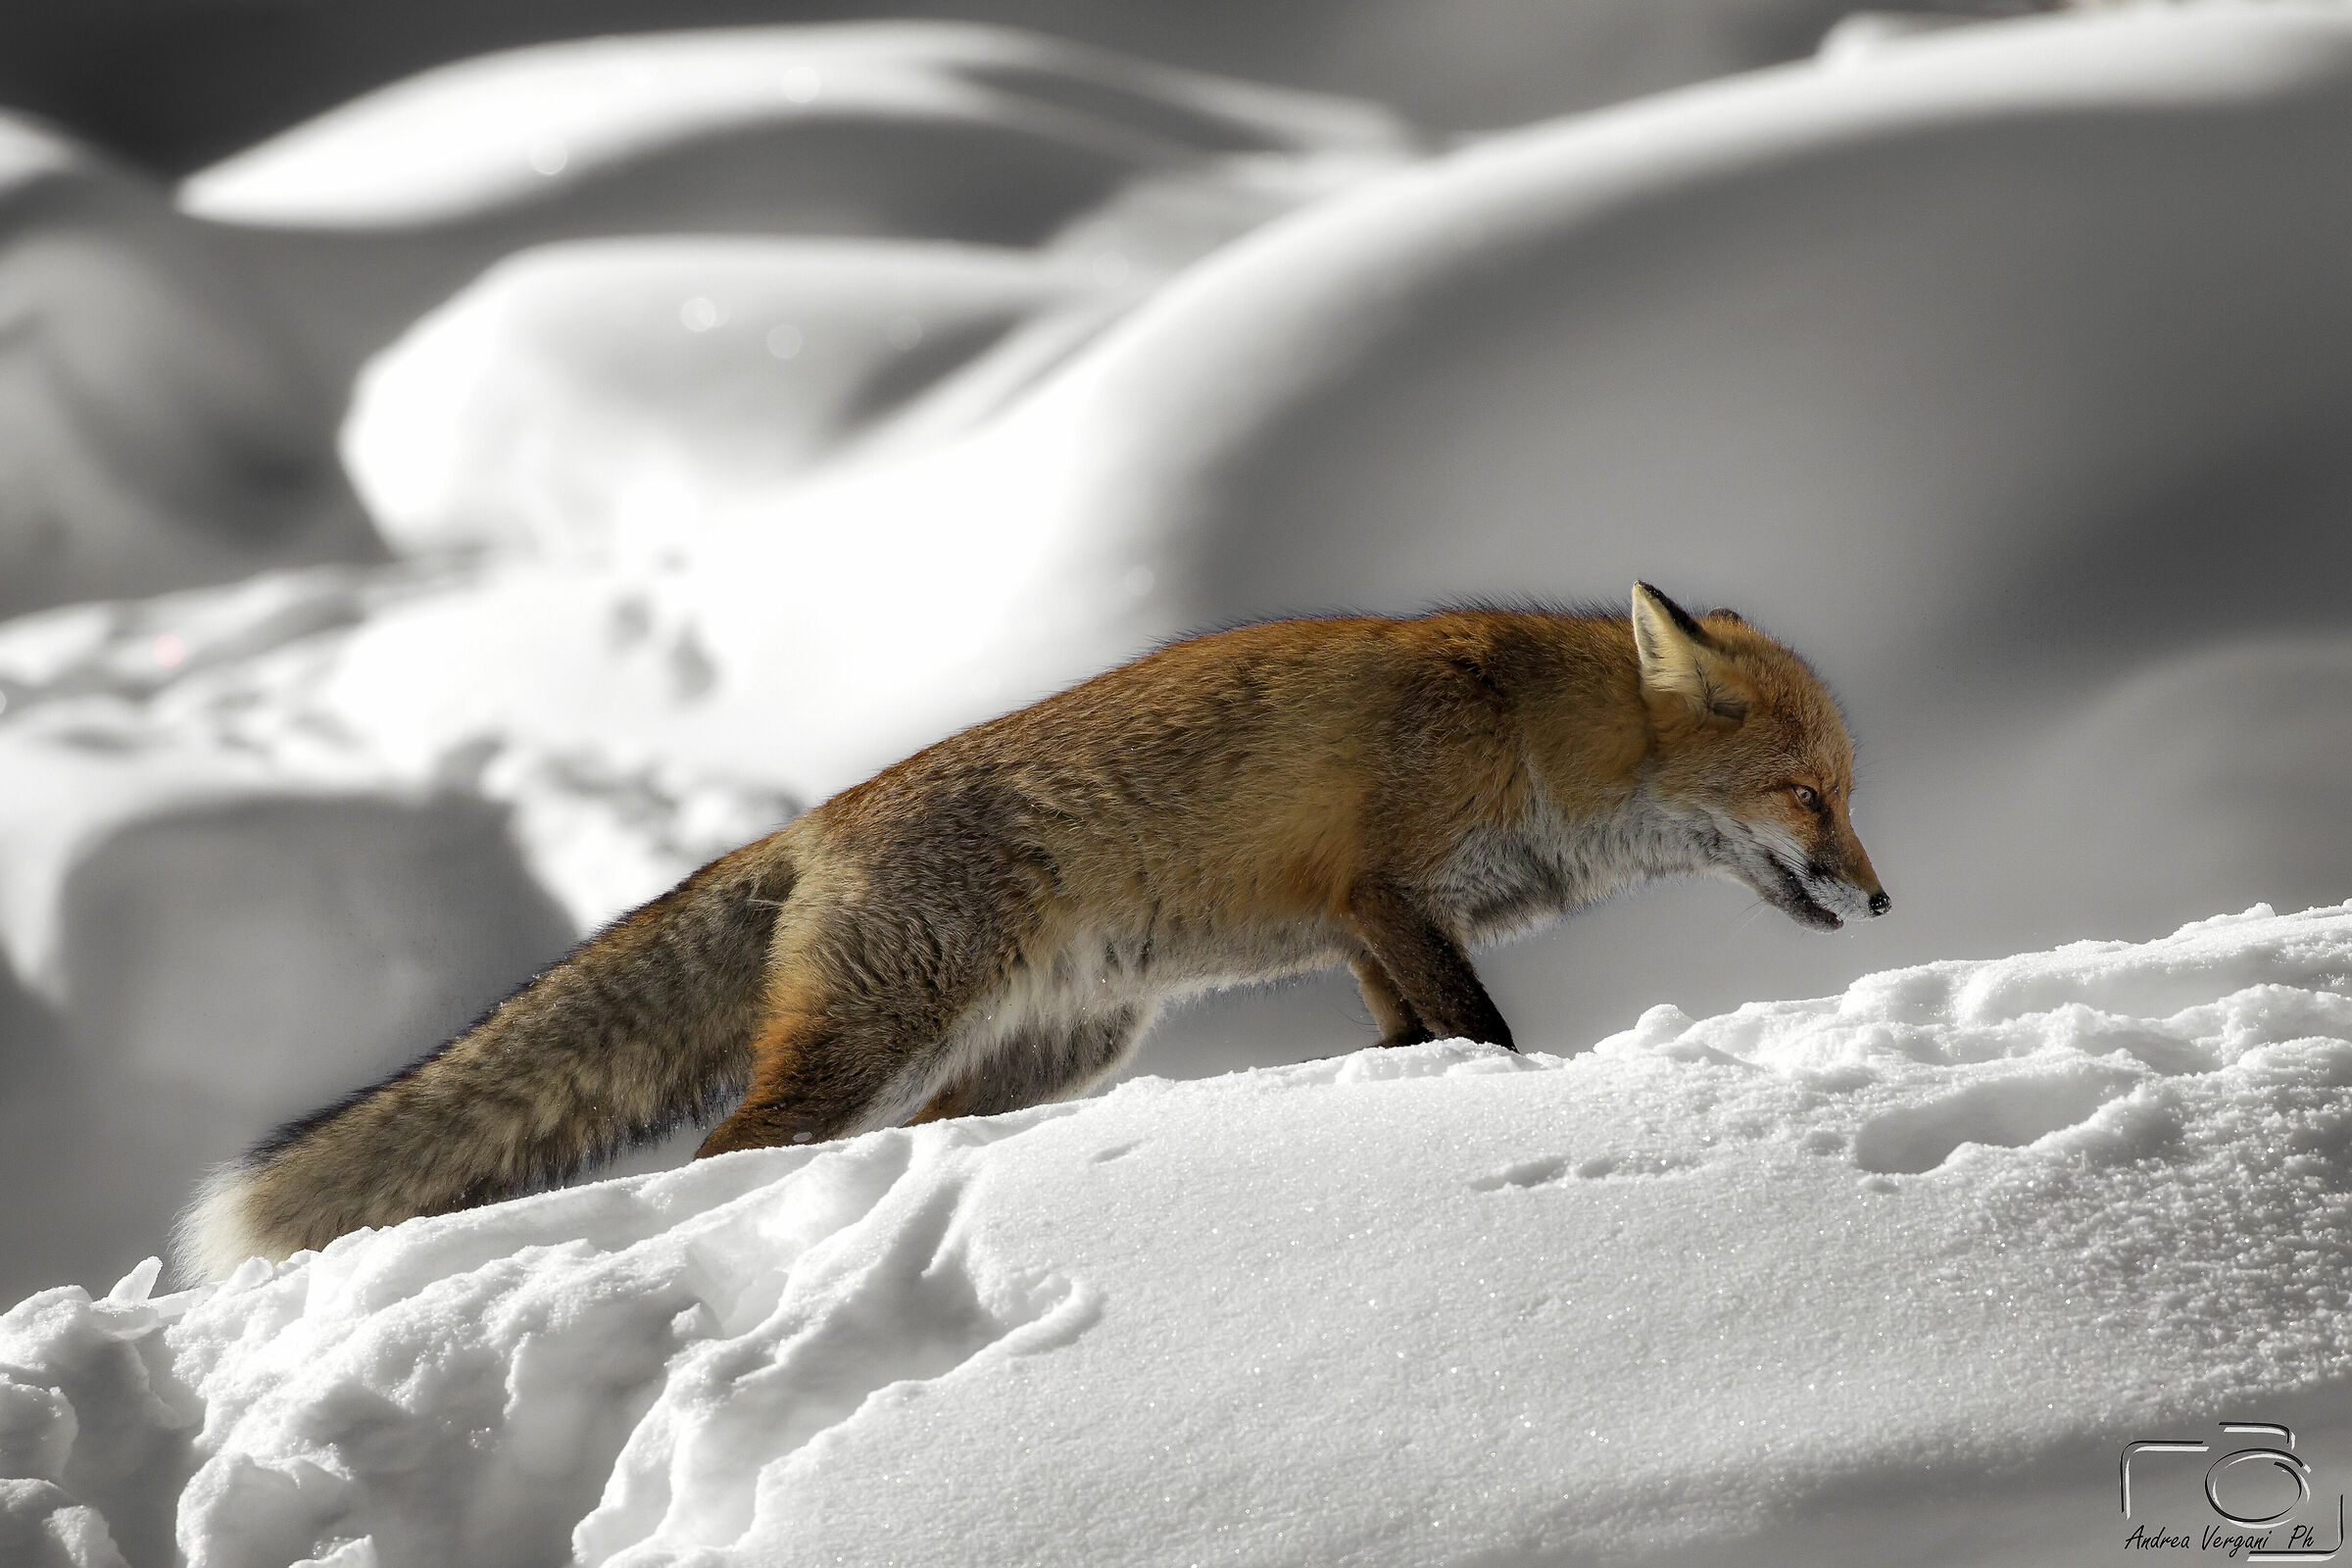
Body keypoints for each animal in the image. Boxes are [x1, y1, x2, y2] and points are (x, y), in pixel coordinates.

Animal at [175, 583, 1887, 1280]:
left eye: (1849, 795)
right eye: (1805, 794)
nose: (1881, 898)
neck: (1534, 744)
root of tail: (816, 824)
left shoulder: (1361, 928)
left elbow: (1410, 1035)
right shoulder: (1387, 890)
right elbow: (1477, 1029)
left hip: (1052, 1052)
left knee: (925, 1133)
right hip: (880, 1034)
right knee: (727, 1154)